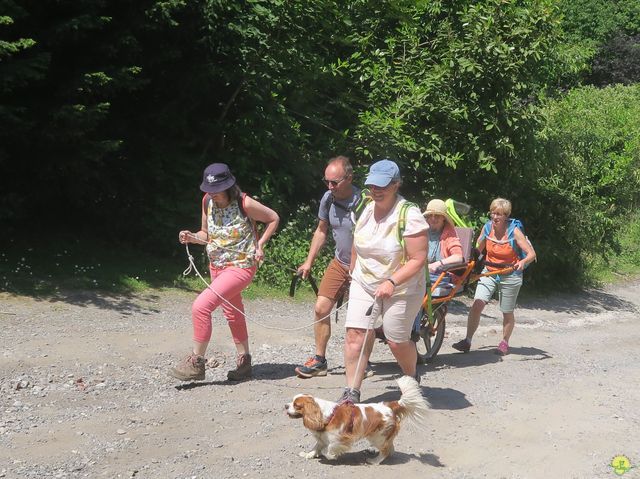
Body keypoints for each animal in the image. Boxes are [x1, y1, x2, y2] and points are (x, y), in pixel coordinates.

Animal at [286, 376, 430, 464]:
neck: (325, 415)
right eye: (291, 401)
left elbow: (329, 448)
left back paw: (375, 461)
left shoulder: (341, 438)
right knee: (390, 448)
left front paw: (331, 455)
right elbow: (317, 446)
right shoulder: (322, 437)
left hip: (377, 436)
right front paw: (309, 454)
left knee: (385, 450)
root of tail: (390, 406)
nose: (286, 405)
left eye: (296, 405)